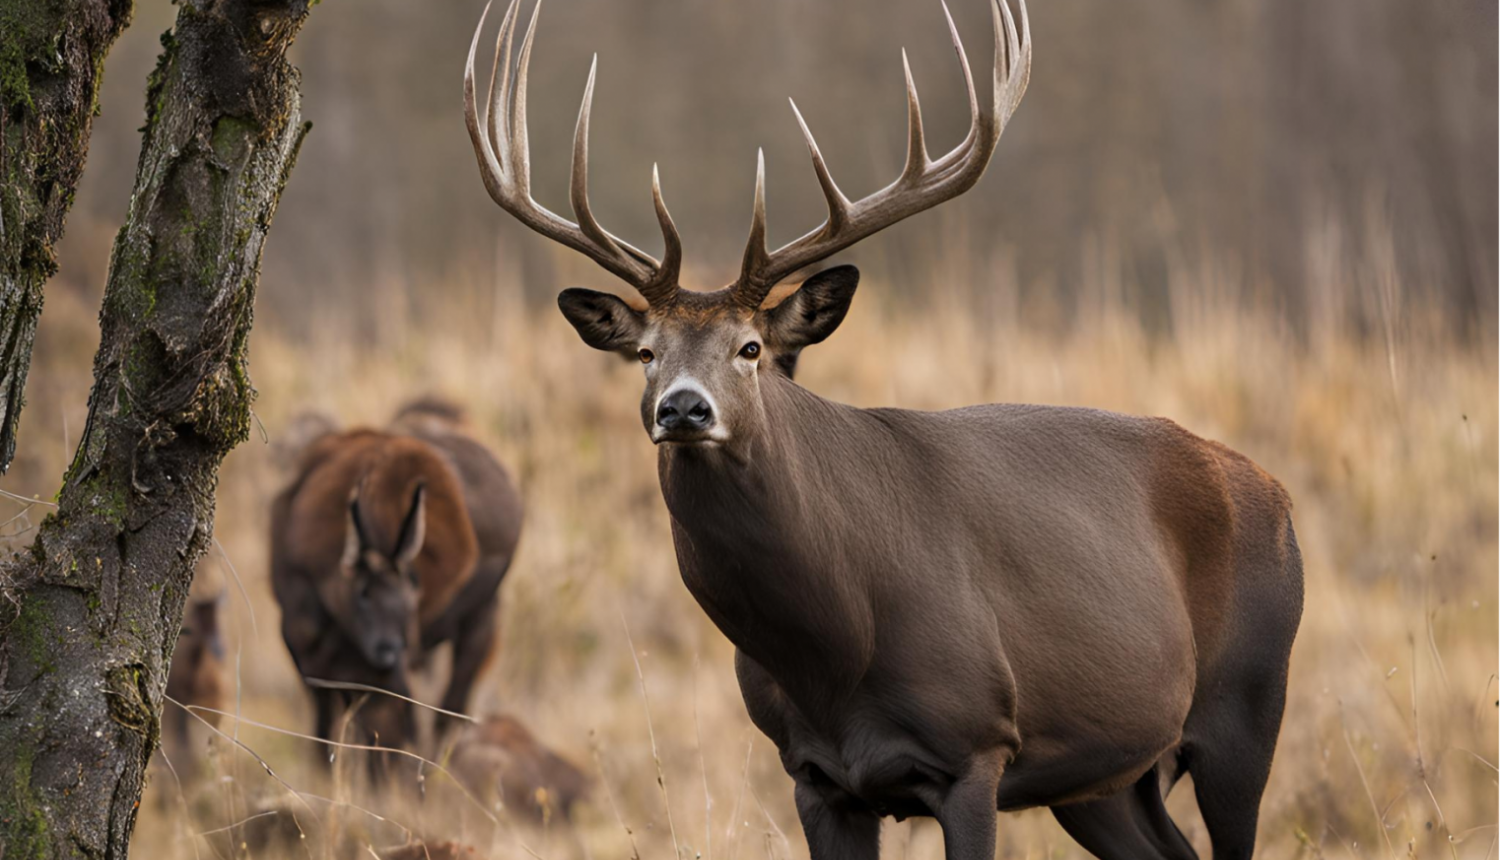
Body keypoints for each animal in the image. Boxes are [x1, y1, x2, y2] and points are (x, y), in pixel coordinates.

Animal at [456, 1, 1302, 858]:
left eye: (751, 348)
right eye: (645, 353)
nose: (684, 409)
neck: (835, 649)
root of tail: (1275, 493)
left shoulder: (976, 748)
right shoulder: (814, 772)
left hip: (1248, 705)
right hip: (1109, 776)